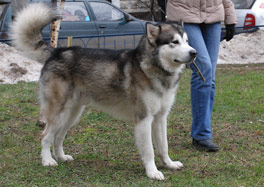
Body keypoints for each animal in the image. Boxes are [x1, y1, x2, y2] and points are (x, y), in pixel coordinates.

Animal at [11, 2, 197, 180]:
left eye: (187, 41)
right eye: (174, 42)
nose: (194, 52)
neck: (154, 69)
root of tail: (57, 51)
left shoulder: (160, 118)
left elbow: (164, 146)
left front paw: (169, 164)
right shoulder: (144, 119)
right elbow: (149, 150)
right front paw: (153, 172)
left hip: (72, 114)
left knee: (58, 137)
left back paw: (61, 157)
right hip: (58, 112)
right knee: (45, 136)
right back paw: (47, 160)